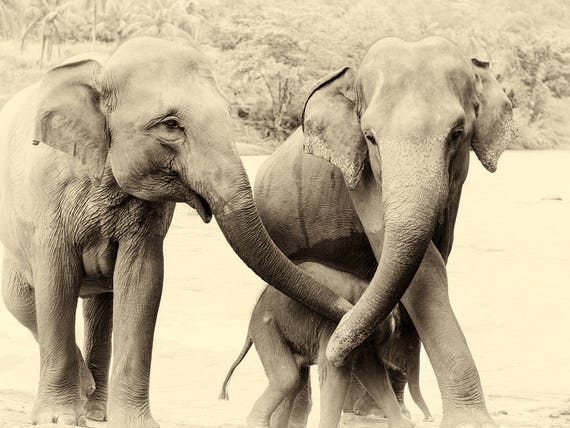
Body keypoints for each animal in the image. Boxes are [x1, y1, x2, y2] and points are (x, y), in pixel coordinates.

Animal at [0, 35, 358, 426]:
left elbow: (143, 280)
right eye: (171, 125)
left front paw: (136, 422)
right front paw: (58, 418)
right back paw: (84, 392)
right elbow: (56, 281)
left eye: (230, 114)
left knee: (100, 305)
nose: (353, 311)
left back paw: (96, 408)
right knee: (22, 301)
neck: (103, 68)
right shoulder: (48, 198)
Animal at [217, 260, 412, 428]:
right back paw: (255, 422)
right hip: (267, 328)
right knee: (288, 378)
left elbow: (371, 370)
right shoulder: (332, 325)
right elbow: (335, 374)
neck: (365, 289)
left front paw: (403, 424)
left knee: (295, 379)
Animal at [253, 36, 516, 428]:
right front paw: (469, 420)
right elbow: (425, 275)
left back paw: (365, 411)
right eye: (370, 137)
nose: (334, 350)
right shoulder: (360, 174)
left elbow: (429, 264)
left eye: (457, 134)